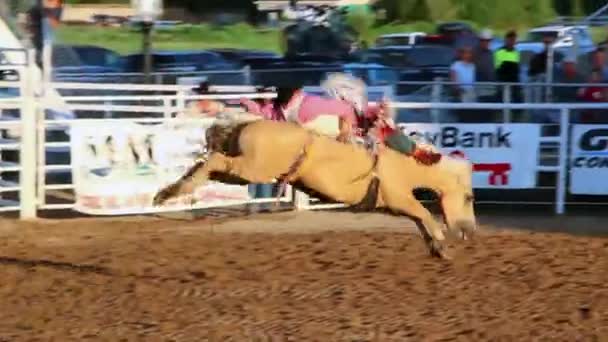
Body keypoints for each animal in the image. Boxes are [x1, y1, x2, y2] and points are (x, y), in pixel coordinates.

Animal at [152, 118, 476, 260]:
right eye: (469, 197)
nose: (470, 231)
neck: (406, 162)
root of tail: (250, 123)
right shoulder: (399, 197)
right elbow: (425, 214)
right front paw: (441, 240)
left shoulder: (396, 205)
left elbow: (420, 221)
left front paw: (438, 248)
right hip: (252, 169)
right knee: (214, 160)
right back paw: (167, 194)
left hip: (242, 174)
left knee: (207, 166)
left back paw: (169, 192)